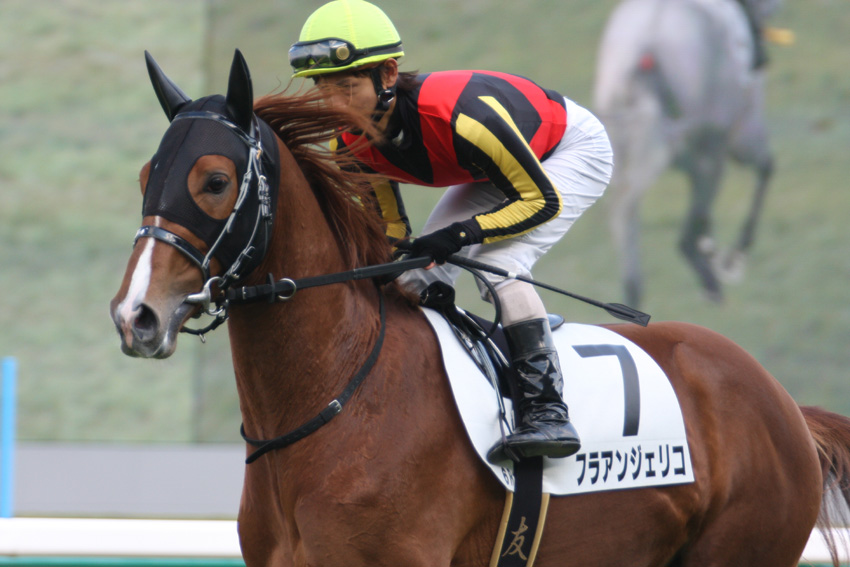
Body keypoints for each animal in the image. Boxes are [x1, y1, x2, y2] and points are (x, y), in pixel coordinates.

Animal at [110, 49, 850, 567]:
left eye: (214, 180)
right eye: (147, 175)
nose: (135, 315)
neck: (339, 390)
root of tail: (783, 402)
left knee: (511, 264)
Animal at [593, 0, 782, 307]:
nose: (762, 60)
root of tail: (647, 43)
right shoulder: (740, 137)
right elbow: (764, 170)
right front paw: (731, 256)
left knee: (625, 222)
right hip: (710, 154)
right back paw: (710, 278)